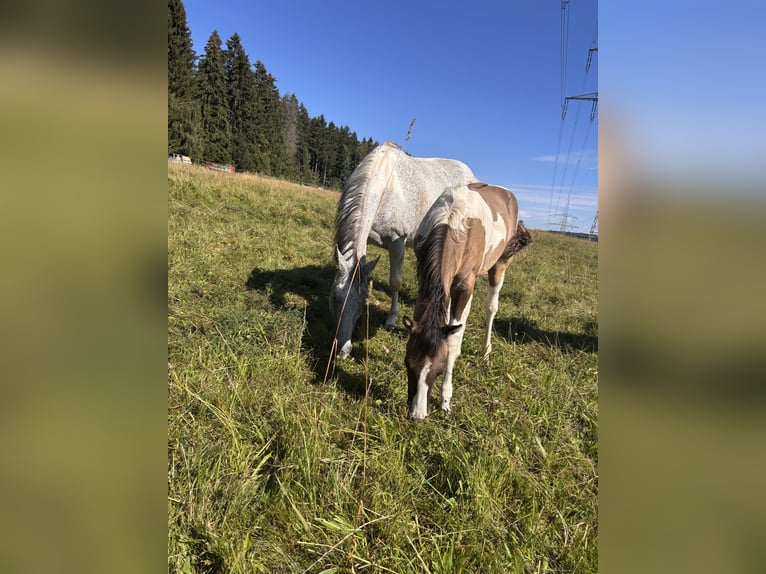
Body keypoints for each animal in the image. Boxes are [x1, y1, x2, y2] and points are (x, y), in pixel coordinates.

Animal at [330, 142, 476, 359]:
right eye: (335, 298)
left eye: (363, 302)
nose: (342, 350)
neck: (385, 186)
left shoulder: (397, 242)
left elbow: (395, 282)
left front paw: (391, 320)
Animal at [403, 182, 531, 420]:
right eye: (408, 363)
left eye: (439, 369)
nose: (417, 414)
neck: (453, 222)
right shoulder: (425, 279)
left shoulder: (464, 285)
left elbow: (452, 342)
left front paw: (445, 401)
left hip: (500, 263)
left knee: (490, 307)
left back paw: (486, 351)